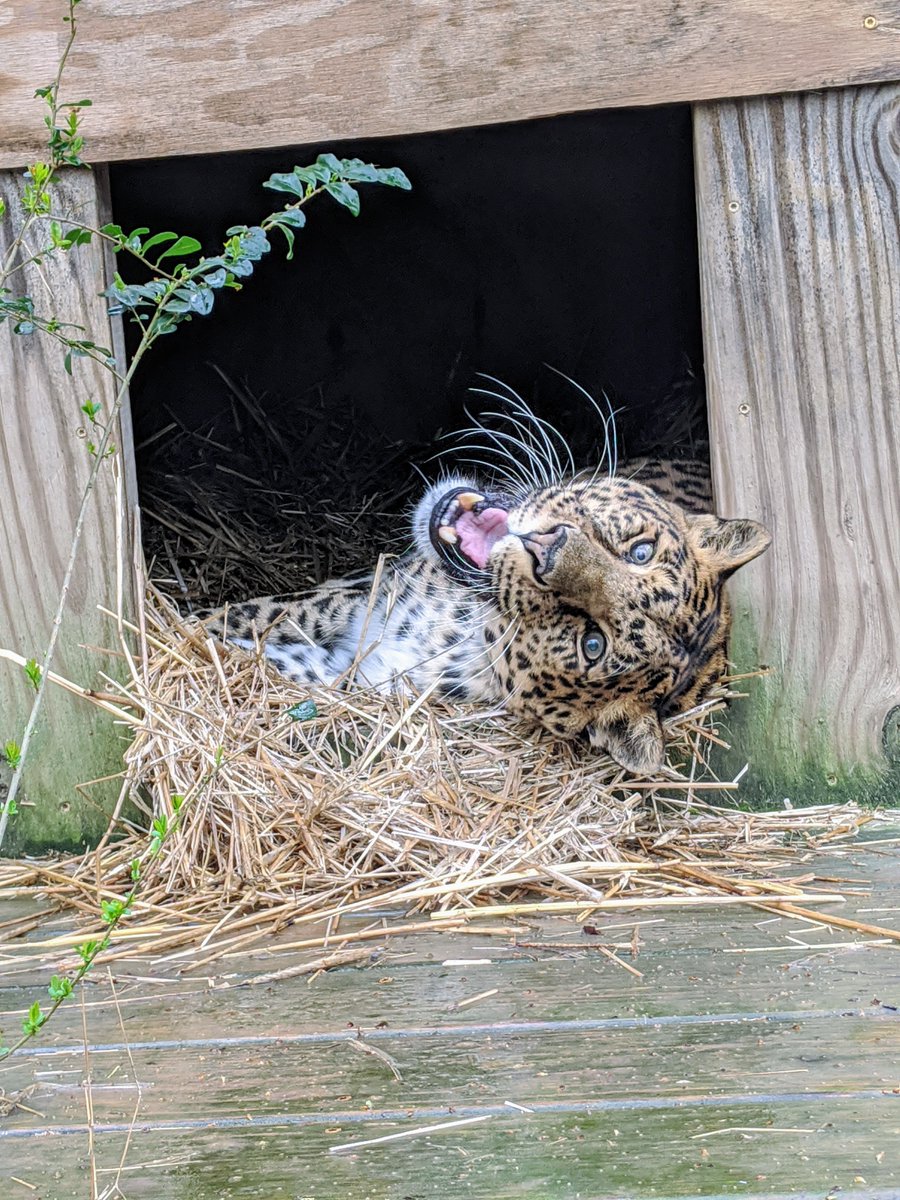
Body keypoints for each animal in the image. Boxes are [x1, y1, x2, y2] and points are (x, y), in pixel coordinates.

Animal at [204, 387, 771, 775]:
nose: (547, 549)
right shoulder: (351, 599)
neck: (456, 633)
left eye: (592, 644)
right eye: (640, 551)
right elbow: (240, 618)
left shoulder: (367, 680)